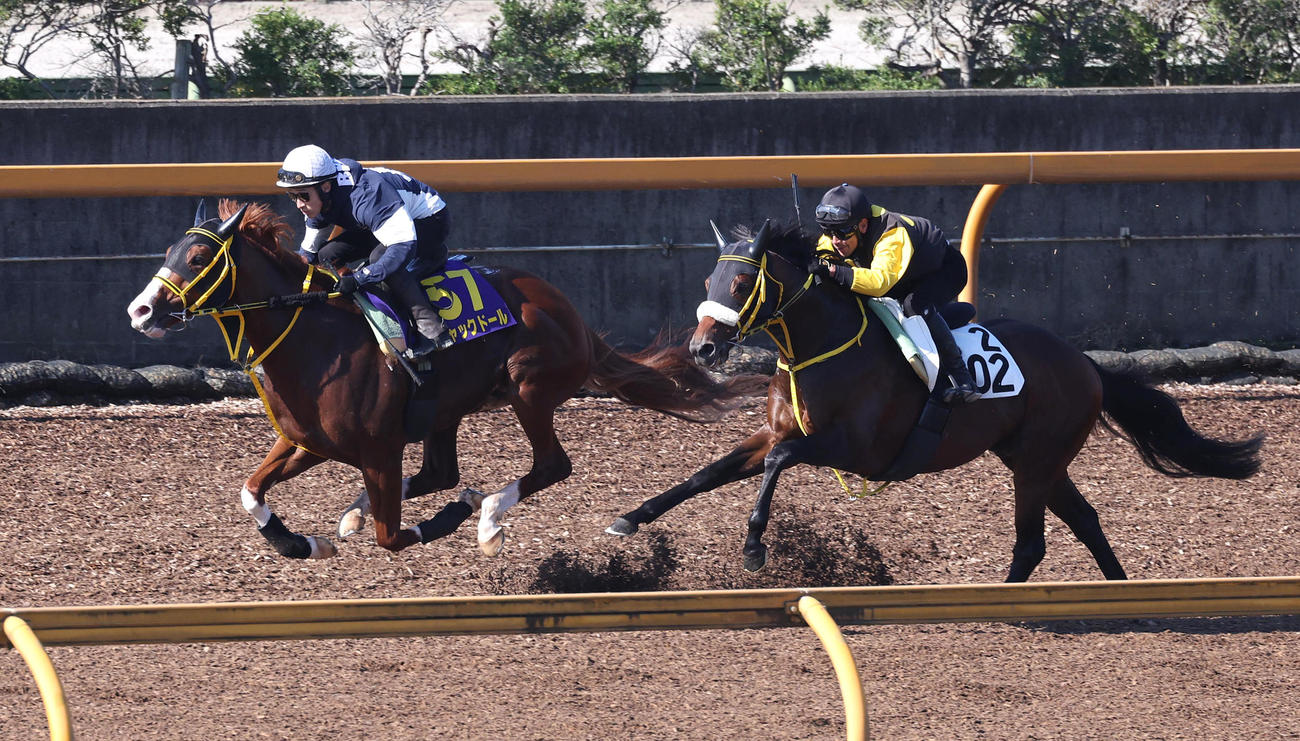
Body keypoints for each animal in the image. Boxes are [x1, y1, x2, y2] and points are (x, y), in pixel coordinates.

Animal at [127, 199, 756, 559]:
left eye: (197, 260)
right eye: (170, 250)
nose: (140, 310)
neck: (314, 338)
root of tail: (573, 314)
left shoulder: (379, 450)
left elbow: (392, 536)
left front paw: (458, 514)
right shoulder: (308, 441)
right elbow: (250, 491)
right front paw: (301, 542)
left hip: (528, 389)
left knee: (550, 465)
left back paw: (487, 518)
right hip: (446, 410)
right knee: (438, 471)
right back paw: (364, 510)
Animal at [607, 220, 1264, 582]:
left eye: (742, 283)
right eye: (708, 282)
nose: (703, 347)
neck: (819, 345)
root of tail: (1087, 364)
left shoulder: (855, 451)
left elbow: (776, 464)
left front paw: (752, 548)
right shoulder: (776, 431)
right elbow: (708, 473)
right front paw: (629, 519)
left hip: (1035, 462)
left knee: (1034, 541)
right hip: (1034, 460)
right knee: (1084, 521)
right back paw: (1117, 590)